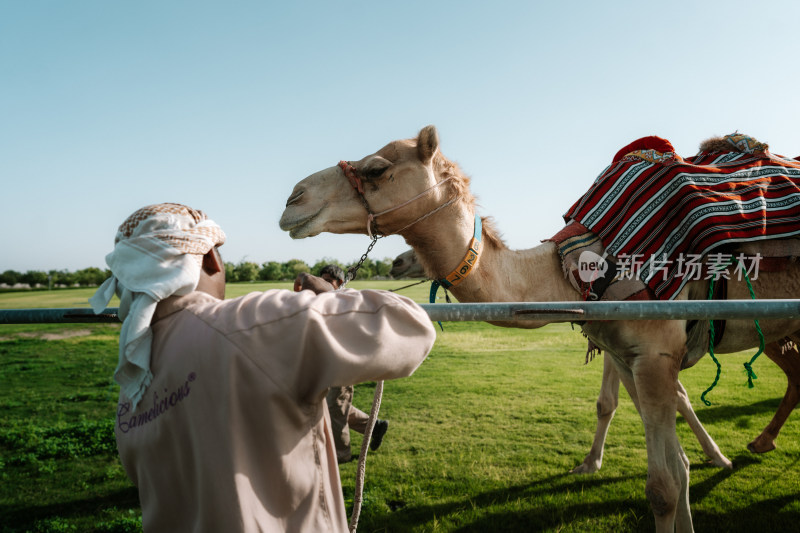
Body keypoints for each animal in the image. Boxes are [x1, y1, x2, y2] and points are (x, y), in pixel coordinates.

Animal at [282, 125, 800, 532]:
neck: (575, 274)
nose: (292, 200)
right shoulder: (628, 357)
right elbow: (679, 469)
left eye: (376, 168)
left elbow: (663, 486)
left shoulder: (655, 355)